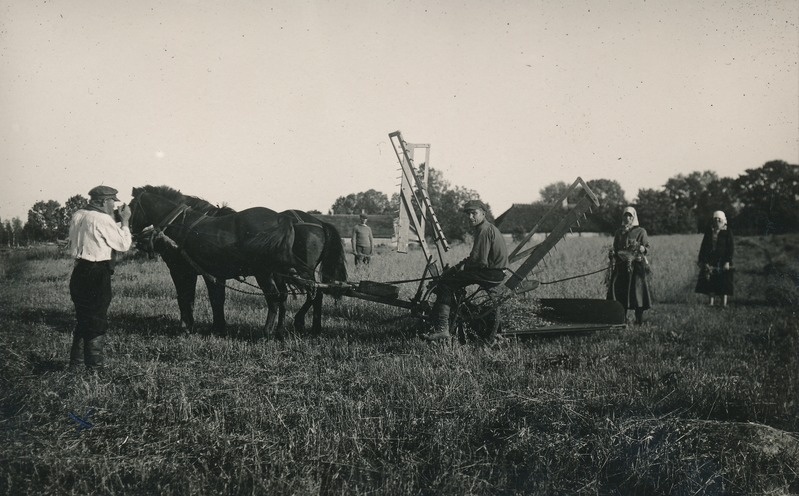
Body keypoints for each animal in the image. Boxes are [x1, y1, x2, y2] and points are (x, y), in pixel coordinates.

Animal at [128, 184, 346, 340]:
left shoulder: (182, 271)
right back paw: (292, 330)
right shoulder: (213, 274)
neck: (180, 224)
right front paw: (217, 327)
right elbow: (216, 299)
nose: (131, 232)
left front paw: (187, 327)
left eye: (130, 207)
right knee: (297, 295)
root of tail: (283, 220)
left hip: (268, 272)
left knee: (285, 296)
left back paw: (272, 331)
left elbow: (185, 298)